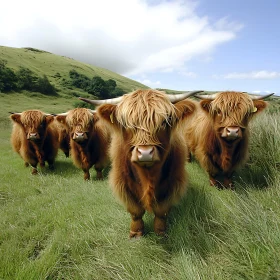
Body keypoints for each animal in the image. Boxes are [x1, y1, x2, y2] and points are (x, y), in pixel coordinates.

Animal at [80, 88, 202, 237]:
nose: (145, 153)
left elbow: (161, 211)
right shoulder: (123, 183)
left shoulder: (173, 183)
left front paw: (160, 232)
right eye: (125, 124)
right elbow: (136, 211)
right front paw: (136, 233)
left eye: (163, 122)